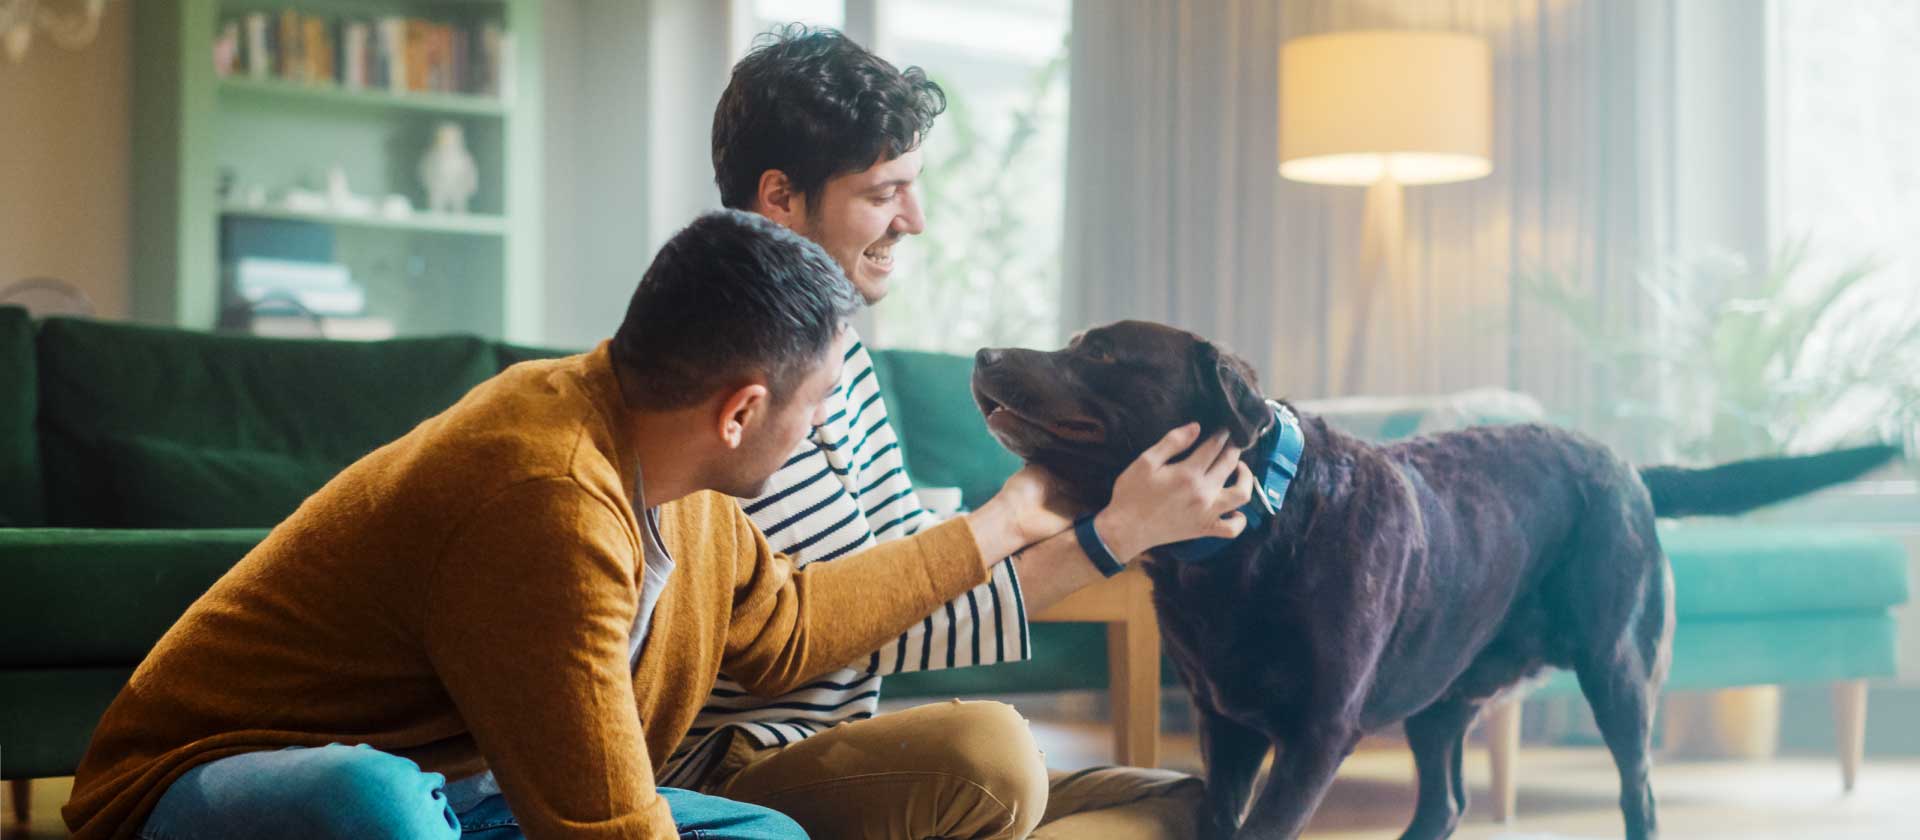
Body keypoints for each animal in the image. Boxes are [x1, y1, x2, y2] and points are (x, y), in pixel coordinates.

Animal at [967, 320, 1896, 840]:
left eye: (1101, 352)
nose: (980, 351)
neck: (1253, 537)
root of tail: (1627, 463)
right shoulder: (1223, 726)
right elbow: (1225, 824)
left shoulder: (1316, 735)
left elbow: (1266, 828)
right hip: (1441, 696)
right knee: (1443, 803)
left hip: (1621, 672)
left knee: (1640, 793)